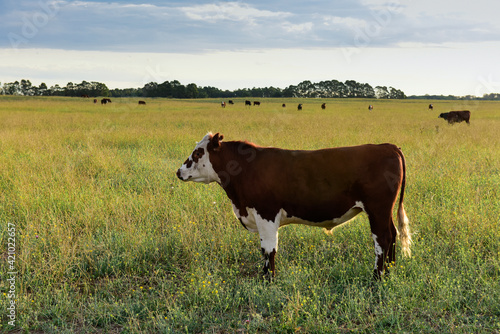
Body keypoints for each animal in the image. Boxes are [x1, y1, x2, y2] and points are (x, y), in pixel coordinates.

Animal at [178, 133, 412, 280]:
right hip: (384, 211)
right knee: (392, 234)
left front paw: (268, 280)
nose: (179, 172)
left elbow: (268, 249)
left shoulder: (266, 213)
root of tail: (387, 146)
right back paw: (390, 270)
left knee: (382, 239)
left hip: (377, 209)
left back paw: (377, 278)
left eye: (198, 153)